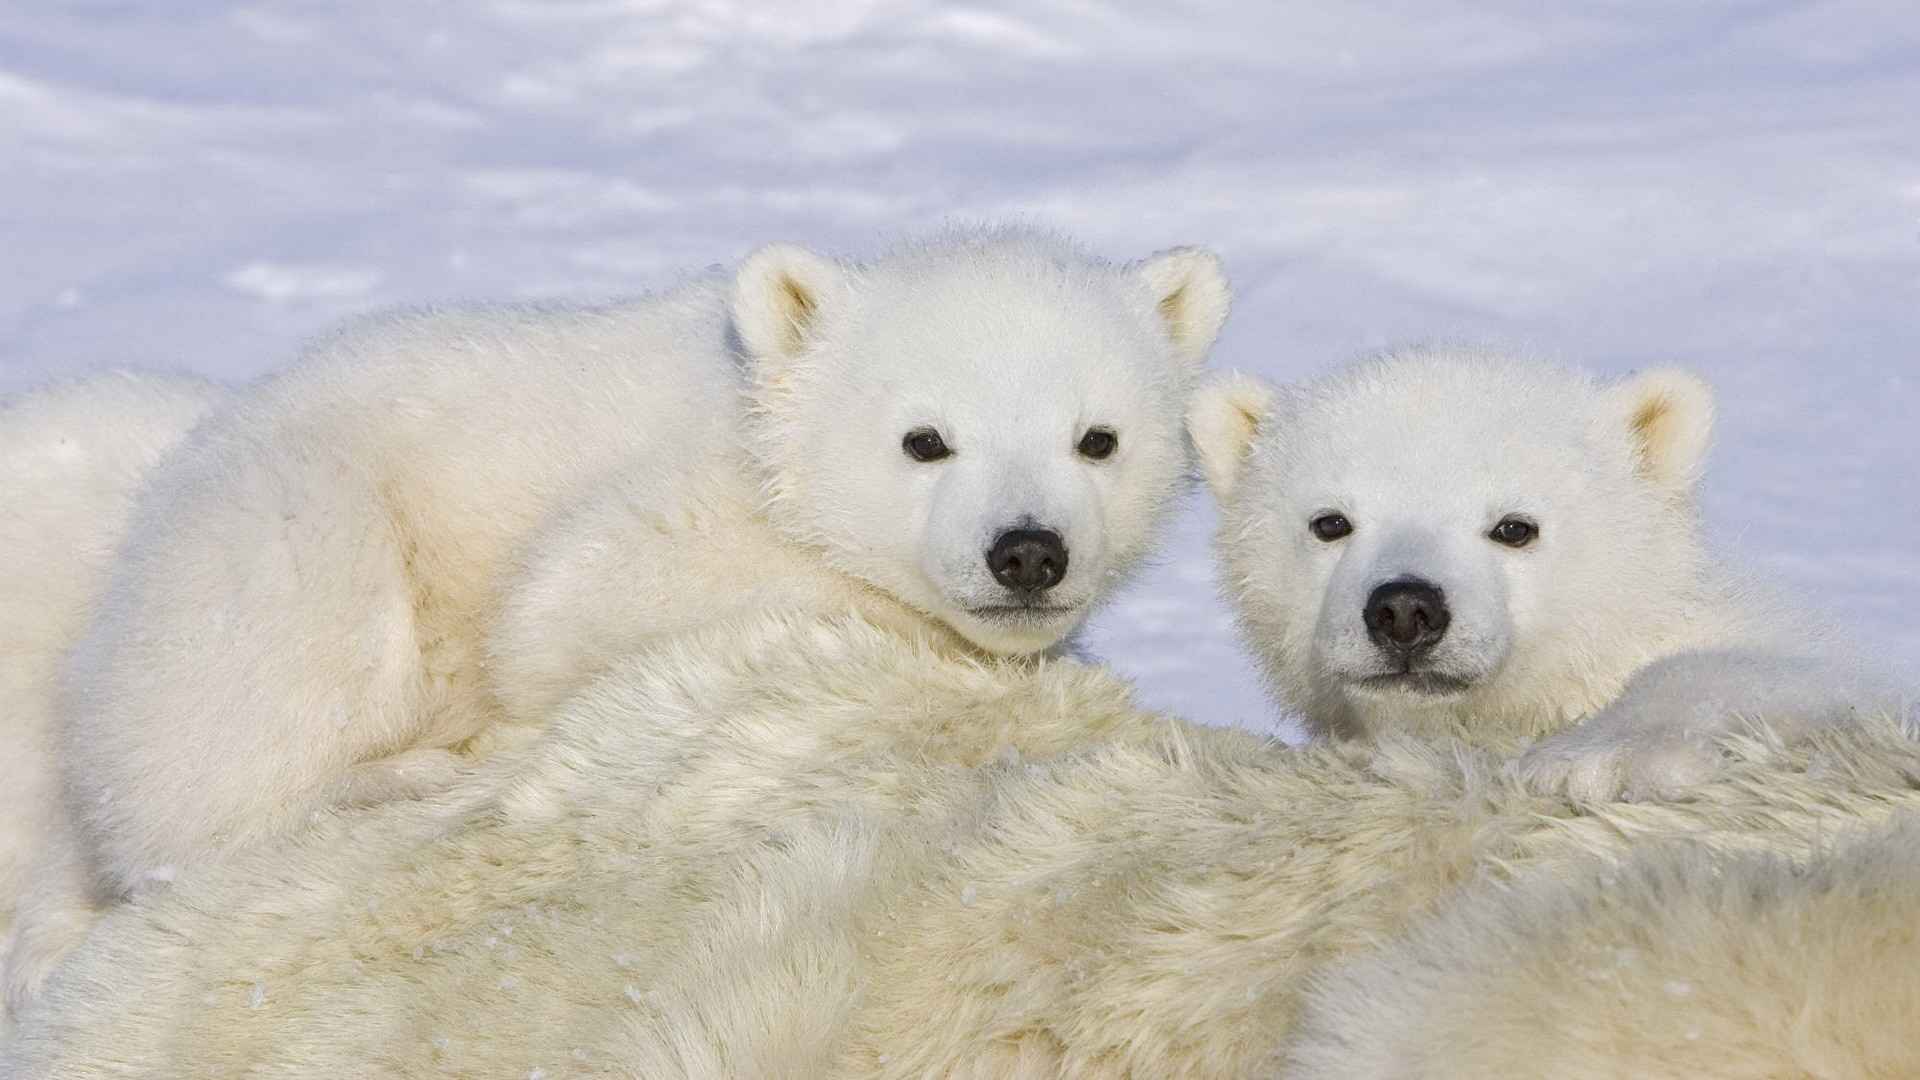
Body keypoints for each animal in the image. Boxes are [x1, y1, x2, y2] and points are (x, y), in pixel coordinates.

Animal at [3, 222, 1228, 1014]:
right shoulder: (672, 507)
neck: (762, 414)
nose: (1027, 551)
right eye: (924, 439)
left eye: (1099, 438)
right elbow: (578, 604)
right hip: (289, 519)